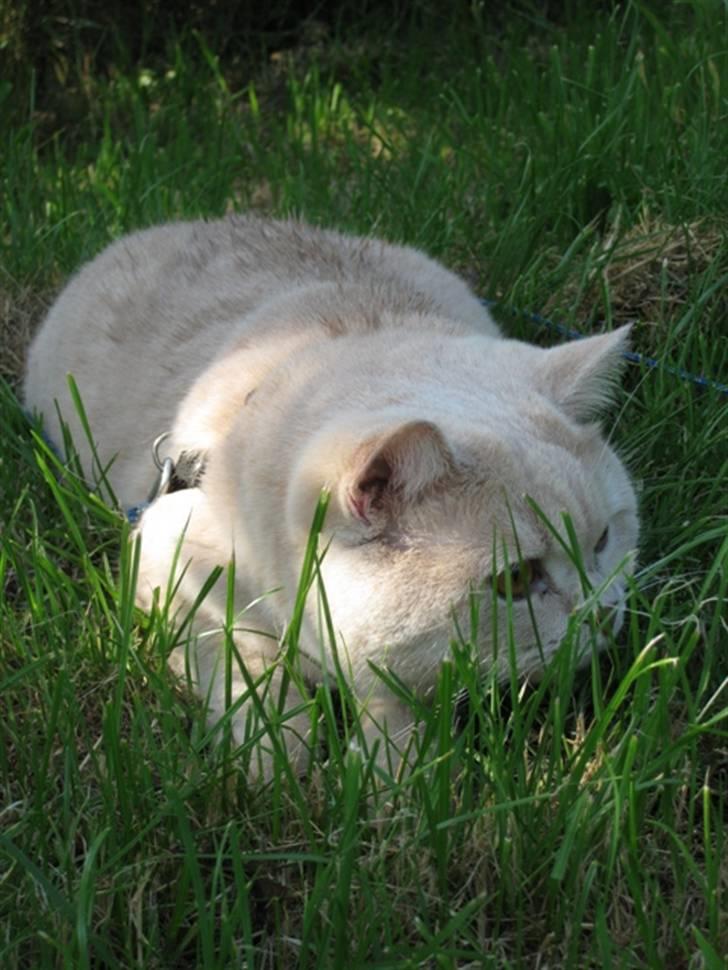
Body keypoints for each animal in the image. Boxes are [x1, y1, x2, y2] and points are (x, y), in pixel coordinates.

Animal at [21, 216, 636, 776]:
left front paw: (395, 774)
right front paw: (275, 756)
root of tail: (183, 223)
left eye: (605, 538)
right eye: (516, 580)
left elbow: (392, 701)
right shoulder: (164, 566)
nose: (606, 612)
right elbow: (240, 663)